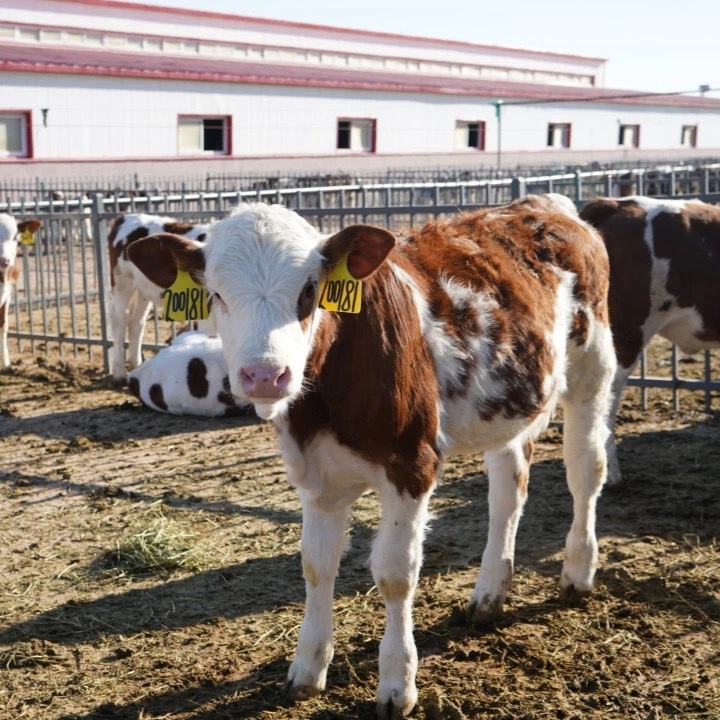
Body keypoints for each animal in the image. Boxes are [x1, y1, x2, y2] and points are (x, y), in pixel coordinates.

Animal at [107, 212, 211, 382]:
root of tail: (125, 216)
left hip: (143, 290)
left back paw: (136, 365)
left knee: (136, 322)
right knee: (120, 321)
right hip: (122, 282)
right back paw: (119, 373)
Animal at [128, 200, 612, 716]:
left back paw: (578, 571)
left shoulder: (411, 464)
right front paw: (307, 669)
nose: (265, 375)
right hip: (509, 406)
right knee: (507, 491)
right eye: (216, 294)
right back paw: (488, 594)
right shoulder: (315, 476)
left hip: (593, 367)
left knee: (586, 470)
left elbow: (396, 574)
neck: (324, 401)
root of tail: (544, 206)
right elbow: (316, 564)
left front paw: (397, 684)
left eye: (309, 291)